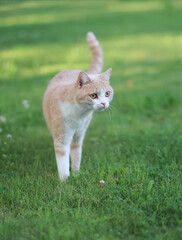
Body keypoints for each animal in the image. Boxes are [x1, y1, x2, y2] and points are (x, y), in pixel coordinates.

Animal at [43, 32, 114, 182]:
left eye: (107, 93)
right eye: (93, 95)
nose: (104, 103)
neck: (79, 113)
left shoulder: (79, 134)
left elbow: (76, 155)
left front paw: (76, 173)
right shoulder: (61, 138)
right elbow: (63, 161)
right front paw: (65, 180)